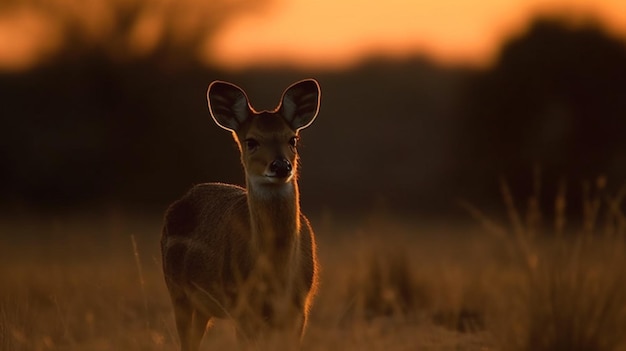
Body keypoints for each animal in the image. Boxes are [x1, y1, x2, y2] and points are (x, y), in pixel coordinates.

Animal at [161, 80, 320, 351]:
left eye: (293, 139)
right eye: (251, 141)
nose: (281, 166)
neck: (277, 274)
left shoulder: (299, 307)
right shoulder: (241, 305)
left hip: (203, 307)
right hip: (177, 291)